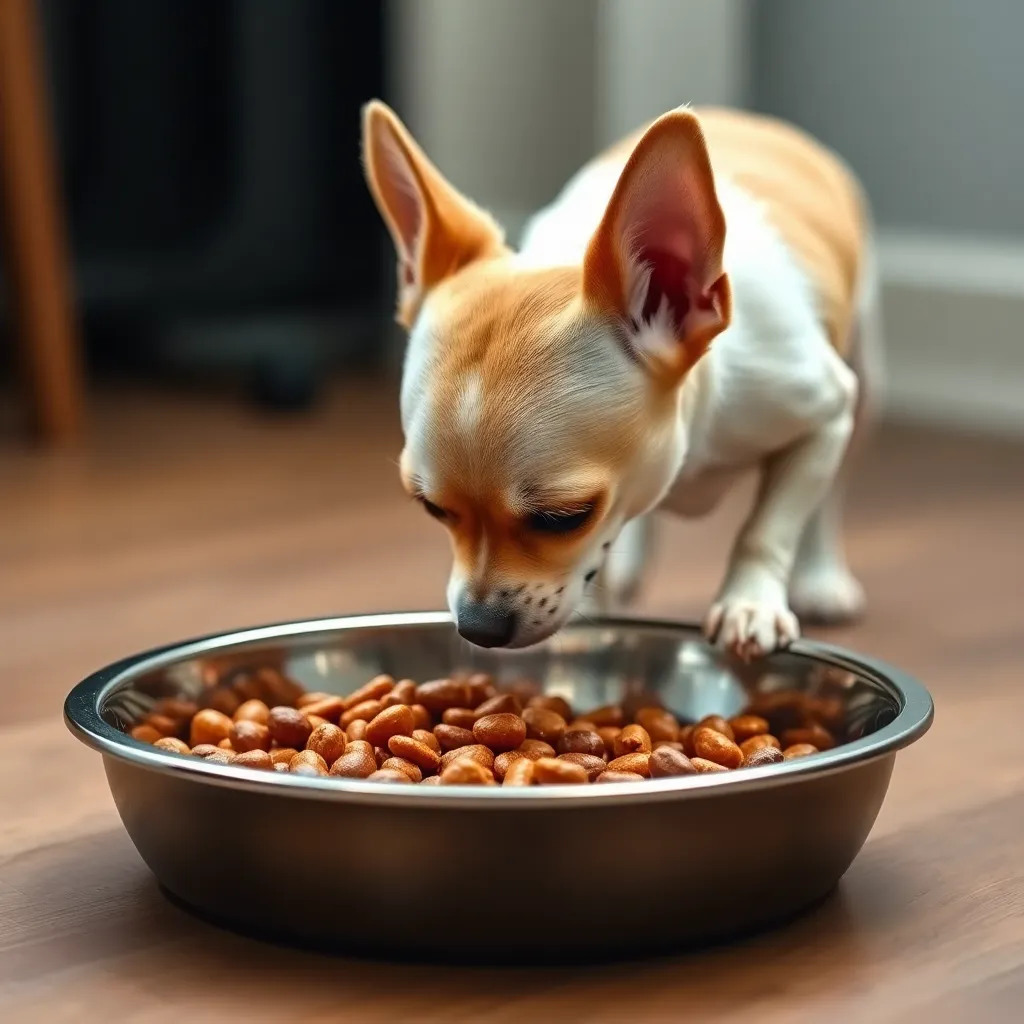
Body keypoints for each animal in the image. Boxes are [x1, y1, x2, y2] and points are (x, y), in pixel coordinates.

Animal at [360, 101, 880, 655]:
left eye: (563, 517)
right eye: (432, 508)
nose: (478, 627)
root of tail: (745, 119)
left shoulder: (823, 415)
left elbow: (769, 527)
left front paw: (750, 603)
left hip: (865, 380)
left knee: (829, 496)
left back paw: (822, 576)